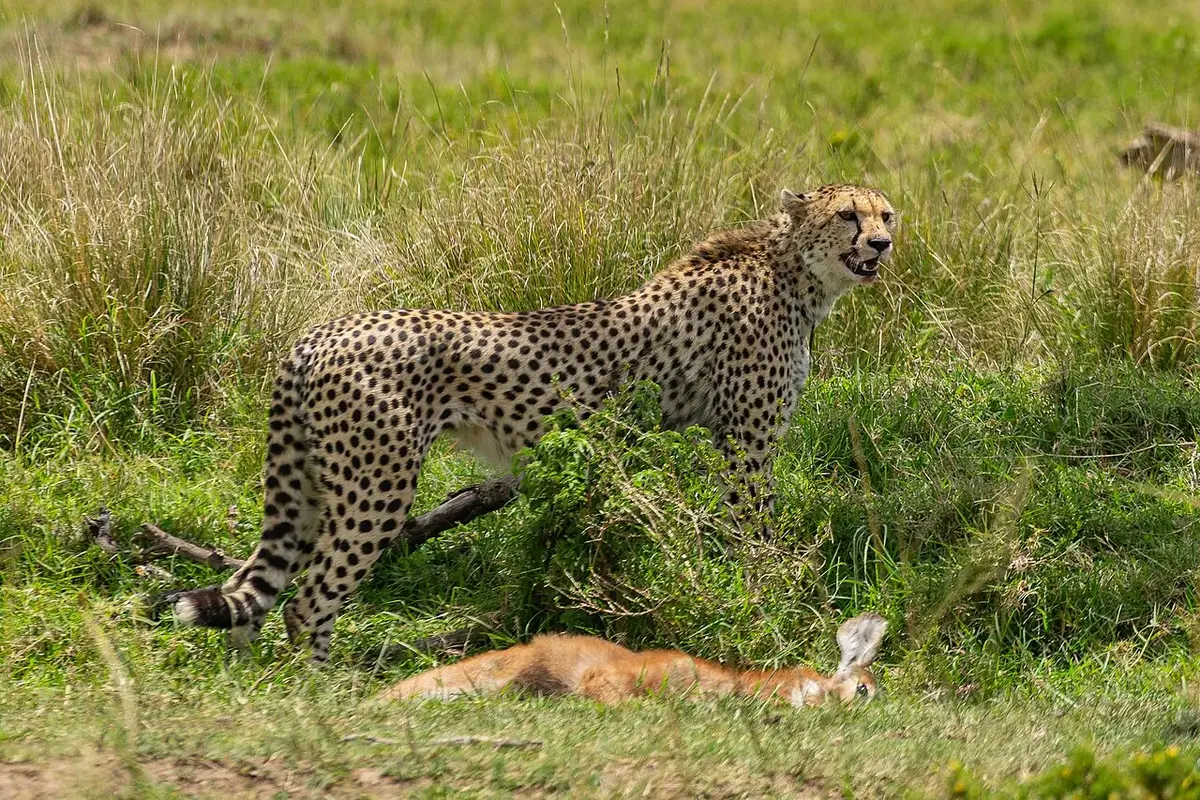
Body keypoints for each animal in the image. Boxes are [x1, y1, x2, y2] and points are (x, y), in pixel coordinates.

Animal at [172, 183, 896, 663]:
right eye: (848, 215)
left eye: (885, 213)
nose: (884, 242)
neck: (793, 270)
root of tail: (316, 333)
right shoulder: (746, 446)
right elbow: (757, 537)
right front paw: (771, 602)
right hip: (375, 485)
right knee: (310, 596)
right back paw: (317, 689)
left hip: (310, 484)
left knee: (249, 588)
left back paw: (251, 680)